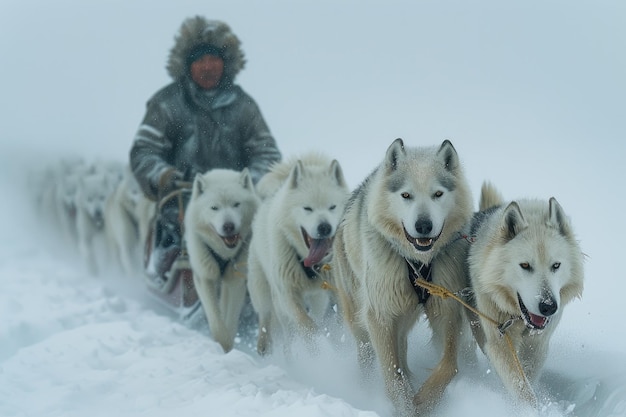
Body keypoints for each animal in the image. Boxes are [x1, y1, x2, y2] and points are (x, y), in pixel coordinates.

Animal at [183, 167, 258, 352]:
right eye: (214, 208)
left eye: (236, 204)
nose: (228, 226)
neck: (224, 253)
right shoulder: (204, 278)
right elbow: (216, 321)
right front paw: (221, 345)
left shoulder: (236, 282)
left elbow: (229, 320)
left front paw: (228, 347)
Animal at [332, 138, 468, 414]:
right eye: (406, 195)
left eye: (438, 194)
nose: (423, 226)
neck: (417, 263)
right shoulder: (380, 316)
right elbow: (392, 376)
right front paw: (406, 407)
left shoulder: (446, 309)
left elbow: (450, 366)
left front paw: (424, 399)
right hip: (361, 318)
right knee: (368, 354)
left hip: (403, 318)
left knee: (402, 349)